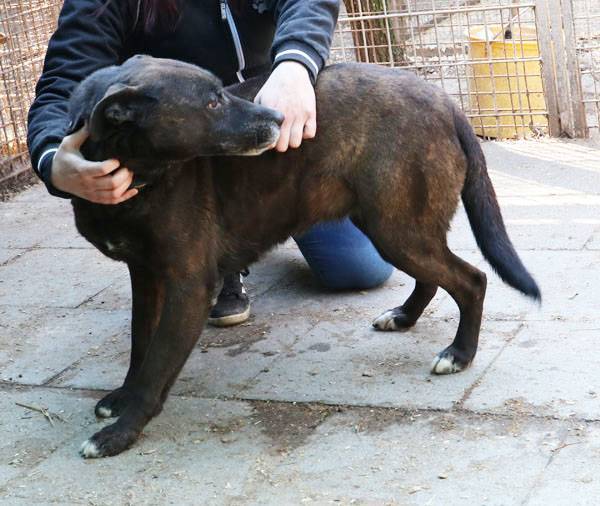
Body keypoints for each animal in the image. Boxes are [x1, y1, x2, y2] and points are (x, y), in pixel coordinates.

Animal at [64, 54, 540, 458]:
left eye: (220, 92)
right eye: (213, 102)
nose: (279, 118)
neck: (139, 177)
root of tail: (444, 100)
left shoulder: (188, 286)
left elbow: (156, 365)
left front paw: (120, 433)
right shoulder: (146, 278)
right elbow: (139, 348)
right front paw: (121, 398)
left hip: (398, 229)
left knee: (472, 280)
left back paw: (459, 354)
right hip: (392, 226)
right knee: (435, 276)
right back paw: (404, 316)